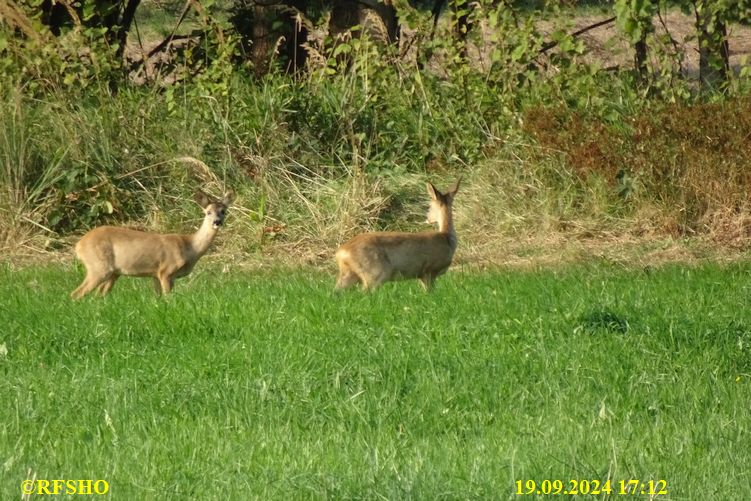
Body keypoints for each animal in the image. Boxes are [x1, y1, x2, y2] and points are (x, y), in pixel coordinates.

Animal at [71, 188, 235, 296]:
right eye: (208, 212)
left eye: (223, 211)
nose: (217, 222)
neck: (190, 247)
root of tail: (79, 245)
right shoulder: (166, 270)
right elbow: (168, 297)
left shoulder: (155, 274)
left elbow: (158, 298)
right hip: (98, 266)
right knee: (76, 293)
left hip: (113, 272)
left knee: (100, 294)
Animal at [336, 178, 464, 292]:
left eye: (429, 207)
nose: (427, 219)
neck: (446, 237)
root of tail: (341, 253)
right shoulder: (428, 270)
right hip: (375, 272)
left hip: (349, 273)